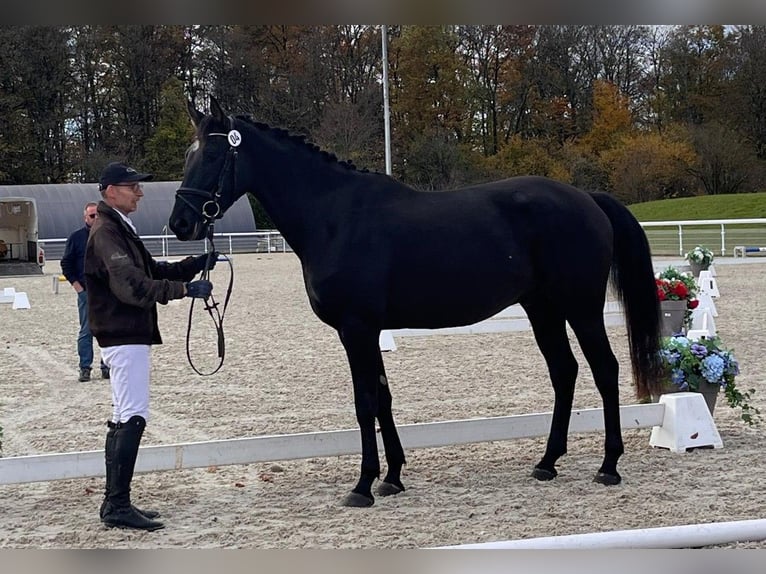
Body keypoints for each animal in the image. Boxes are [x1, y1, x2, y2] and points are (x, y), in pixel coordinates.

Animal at [169, 97, 664, 508]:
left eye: (211, 155)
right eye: (189, 156)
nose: (180, 223)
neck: (334, 216)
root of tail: (588, 199)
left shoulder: (356, 328)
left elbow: (365, 402)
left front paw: (362, 486)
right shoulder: (366, 331)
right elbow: (383, 398)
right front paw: (392, 477)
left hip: (581, 308)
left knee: (605, 371)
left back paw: (608, 466)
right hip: (542, 309)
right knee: (564, 372)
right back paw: (547, 463)